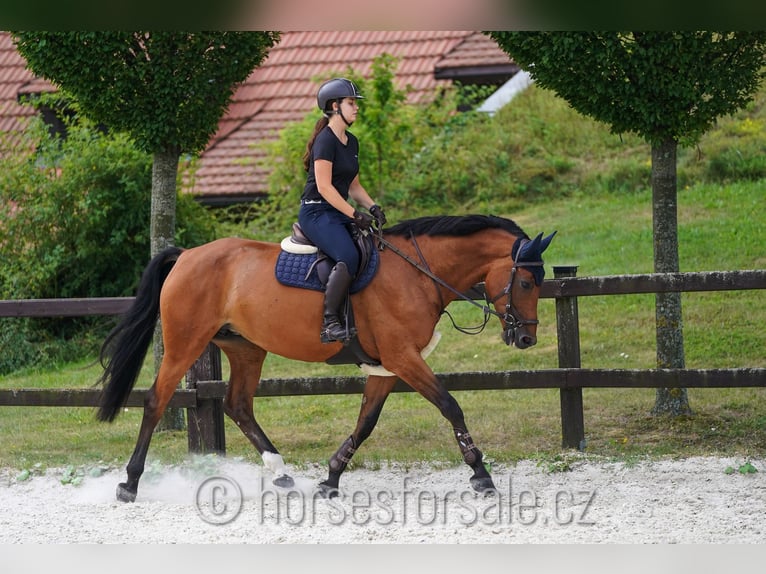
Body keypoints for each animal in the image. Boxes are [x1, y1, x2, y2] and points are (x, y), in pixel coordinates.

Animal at [99, 214, 556, 502]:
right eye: (527, 282)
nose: (526, 338)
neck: (416, 272)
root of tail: (188, 255)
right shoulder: (404, 358)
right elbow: (451, 406)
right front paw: (481, 475)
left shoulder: (388, 366)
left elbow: (365, 422)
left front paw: (331, 478)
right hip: (185, 343)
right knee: (156, 401)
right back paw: (130, 484)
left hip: (246, 348)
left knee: (238, 405)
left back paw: (281, 472)